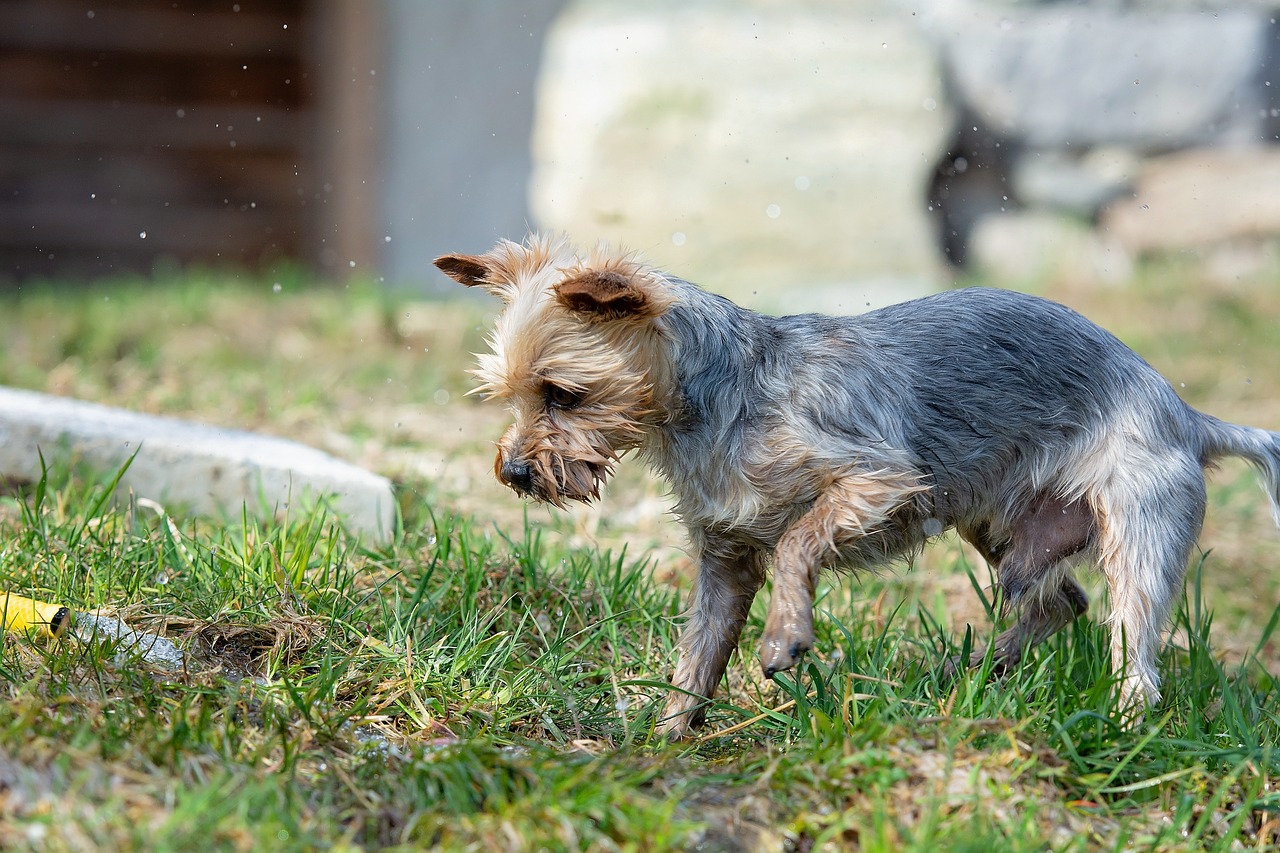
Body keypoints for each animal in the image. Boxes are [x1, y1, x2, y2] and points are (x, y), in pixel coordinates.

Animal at [437, 235, 1280, 732]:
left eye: (562, 394)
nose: (514, 471)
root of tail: (1189, 414)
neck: (718, 399)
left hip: (1138, 529)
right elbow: (698, 654)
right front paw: (666, 738)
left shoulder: (878, 480)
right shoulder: (724, 557)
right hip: (1002, 525)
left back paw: (1122, 723)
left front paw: (785, 635)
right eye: (508, 395)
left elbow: (797, 542)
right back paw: (971, 674)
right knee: (1057, 599)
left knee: (1133, 645)